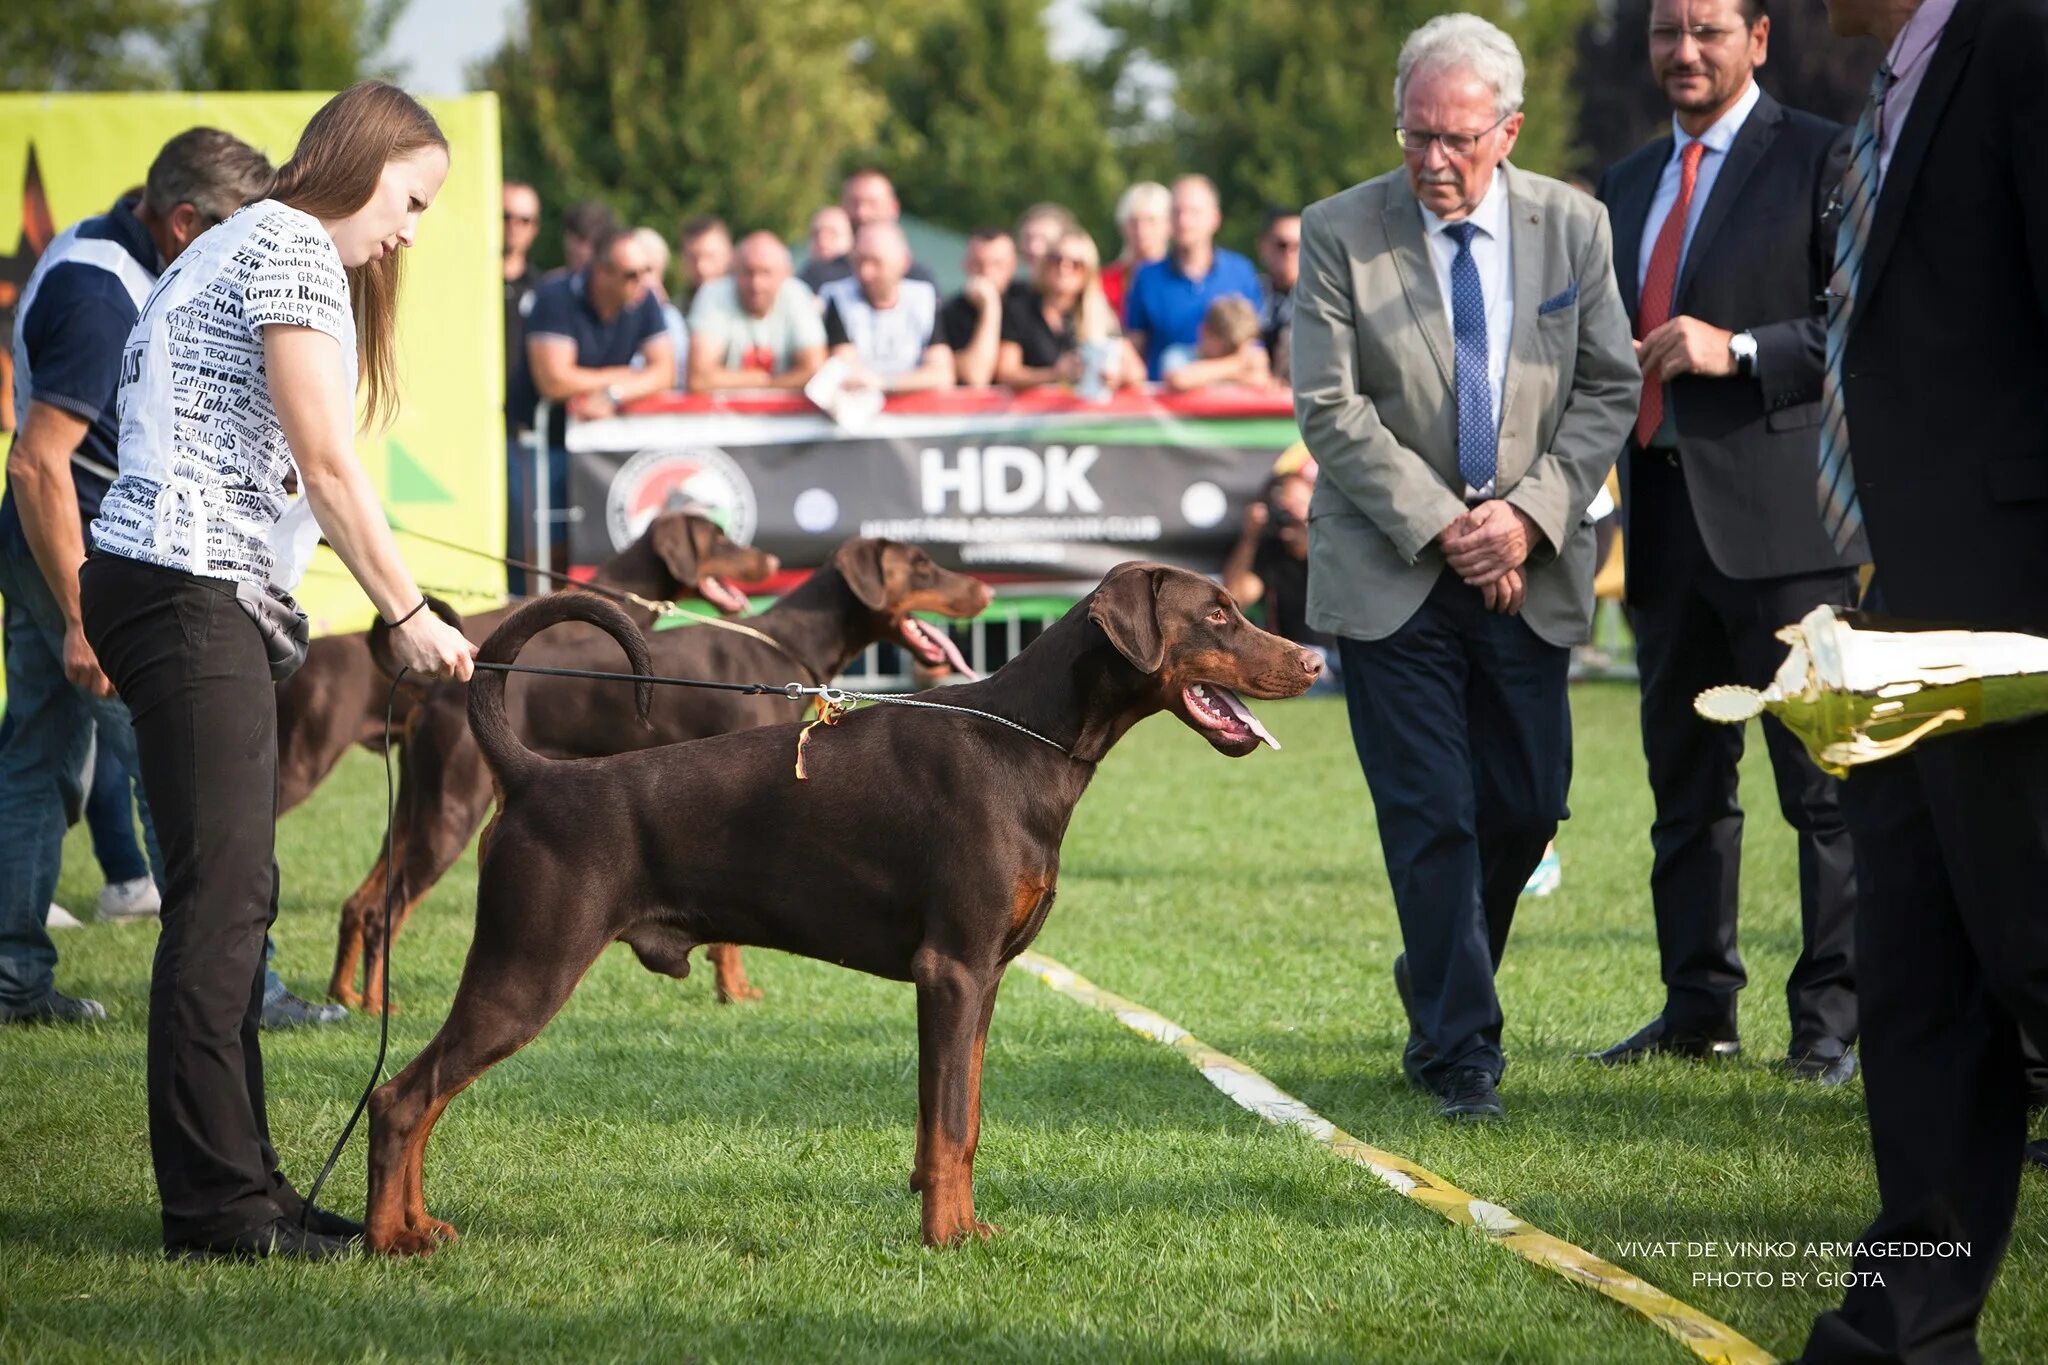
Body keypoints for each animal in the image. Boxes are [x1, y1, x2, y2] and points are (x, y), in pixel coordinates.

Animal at [323, 536, 987, 1015]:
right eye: (921, 566)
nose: (984, 587)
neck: (779, 644)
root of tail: (437, 688)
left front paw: (730, 989)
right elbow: (730, 937)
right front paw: (734, 991)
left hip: (415, 809)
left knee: (361, 903)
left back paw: (346, 996)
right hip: (449, 815)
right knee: (388, 911)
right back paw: (378, 1003)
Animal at [360, 560, 1318, 1252]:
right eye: (1218, 614)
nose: (1313, 659)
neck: (1028, 743)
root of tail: (536, 775)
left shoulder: (985, 979)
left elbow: (962, 1120)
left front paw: (961, 1222)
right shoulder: (950, 970)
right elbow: (947, 1124)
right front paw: (945, 1241)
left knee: (423, 1096)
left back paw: (418, 1223)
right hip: (527, 965)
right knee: (402, 1095)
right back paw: (387, 1239)